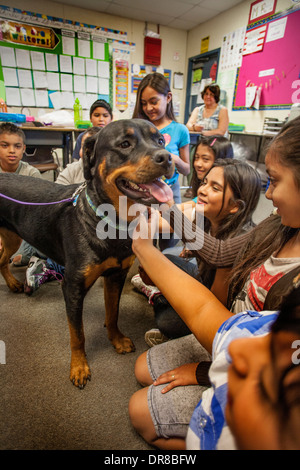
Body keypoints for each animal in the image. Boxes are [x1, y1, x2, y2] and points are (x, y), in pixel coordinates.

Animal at [0, 119, 173, 388]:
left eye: (160, 141)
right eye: (125, 144)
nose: (166, 157)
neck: (112, 221)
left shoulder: (115, 276)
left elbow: (112, 313)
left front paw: (116, 339)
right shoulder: (73, 287)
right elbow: (77, 334)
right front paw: (79, 366)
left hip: (11, 235)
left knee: (1, 260)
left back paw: (12, 283)